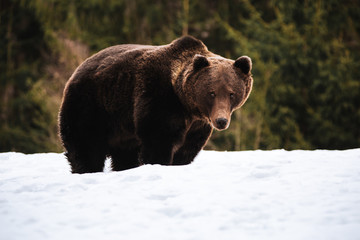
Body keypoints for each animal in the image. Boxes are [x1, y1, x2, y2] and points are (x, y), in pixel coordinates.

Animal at [59, 35, 253, 173]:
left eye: (232, 93)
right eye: (211, 93)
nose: (221, 121)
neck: (185, 103)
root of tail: (78, 68)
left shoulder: (197, 125)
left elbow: (187, 149)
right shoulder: (158, 98)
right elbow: (158, 140)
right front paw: (158, 164)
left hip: (122, 127)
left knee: (124, 153)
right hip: (91, 105)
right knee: (86, 146)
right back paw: (86, 170)